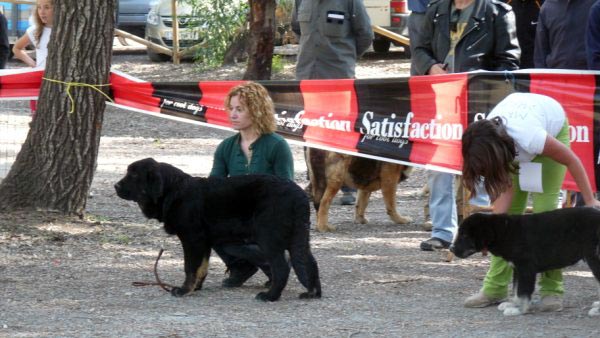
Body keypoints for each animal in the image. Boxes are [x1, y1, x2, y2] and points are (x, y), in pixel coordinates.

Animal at [116, 157, 324, 302]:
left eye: (134, 176)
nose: (116, 185)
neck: (172, 191)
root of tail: (299, 195)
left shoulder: (192, 239)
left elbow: (189, 267)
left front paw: (184, 290)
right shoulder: (204, 242)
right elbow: (201, 268)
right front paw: (195, 288)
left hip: (269, 239)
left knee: (282, 268)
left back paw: (270, 296)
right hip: (298, 238)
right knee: (310, 263)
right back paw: (312, 292)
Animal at [450, 209, 600, 316]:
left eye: (465, 235)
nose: (451, 248)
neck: (505, 231)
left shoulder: (526, 268)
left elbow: (523, 290)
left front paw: (519, 310)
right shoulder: (517, 268)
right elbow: (516, 289)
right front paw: (513, 304)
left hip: (594, 259)